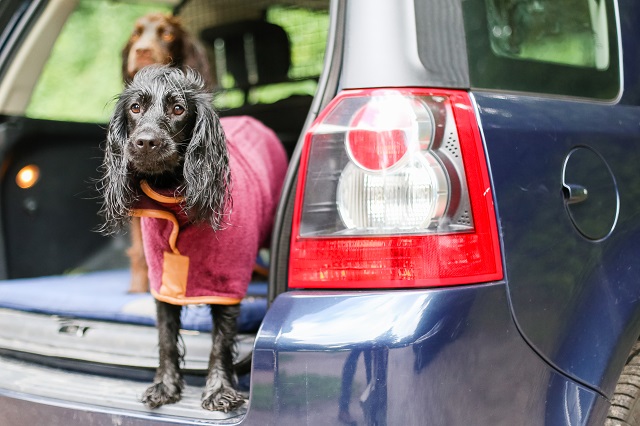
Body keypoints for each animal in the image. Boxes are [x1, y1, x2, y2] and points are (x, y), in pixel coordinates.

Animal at [99, 65, 287, 411]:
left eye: (178, 109)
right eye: (136, 108)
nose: (146, 142)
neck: (175, 198)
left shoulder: (225, 283)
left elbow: (221, 339)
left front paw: (219, 390)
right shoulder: (163, 278)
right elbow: (165, 335)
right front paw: (164, 385)